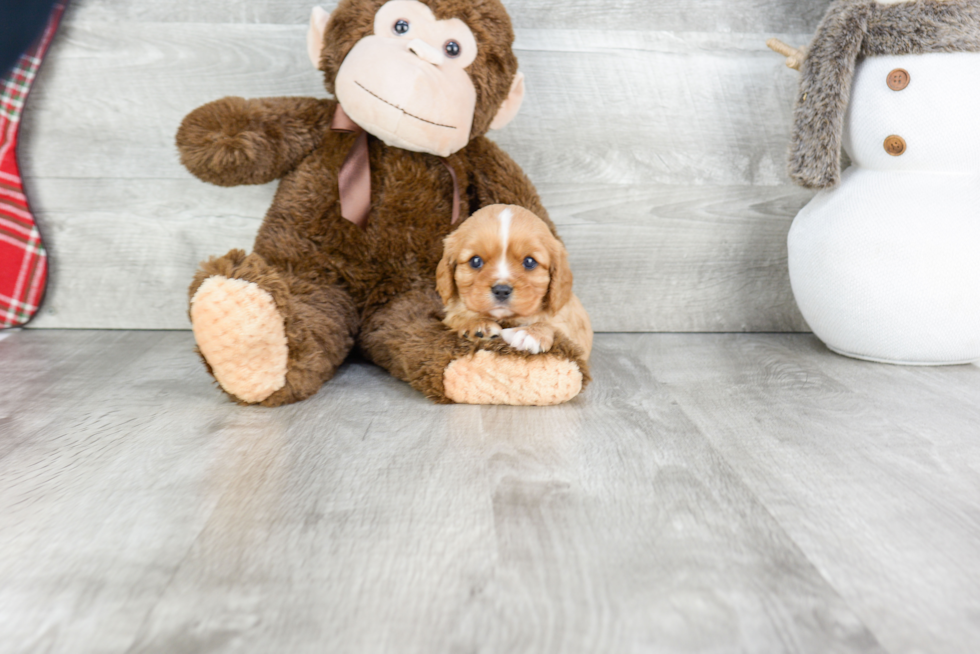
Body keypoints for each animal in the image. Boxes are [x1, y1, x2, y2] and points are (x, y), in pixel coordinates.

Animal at [438, 205, 592, 358]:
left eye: (529, 262)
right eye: (475, 261)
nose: (501, 290)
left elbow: (555, 326)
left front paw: (532, 333)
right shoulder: (450, 316)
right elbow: (458, 316)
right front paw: (476, 323)